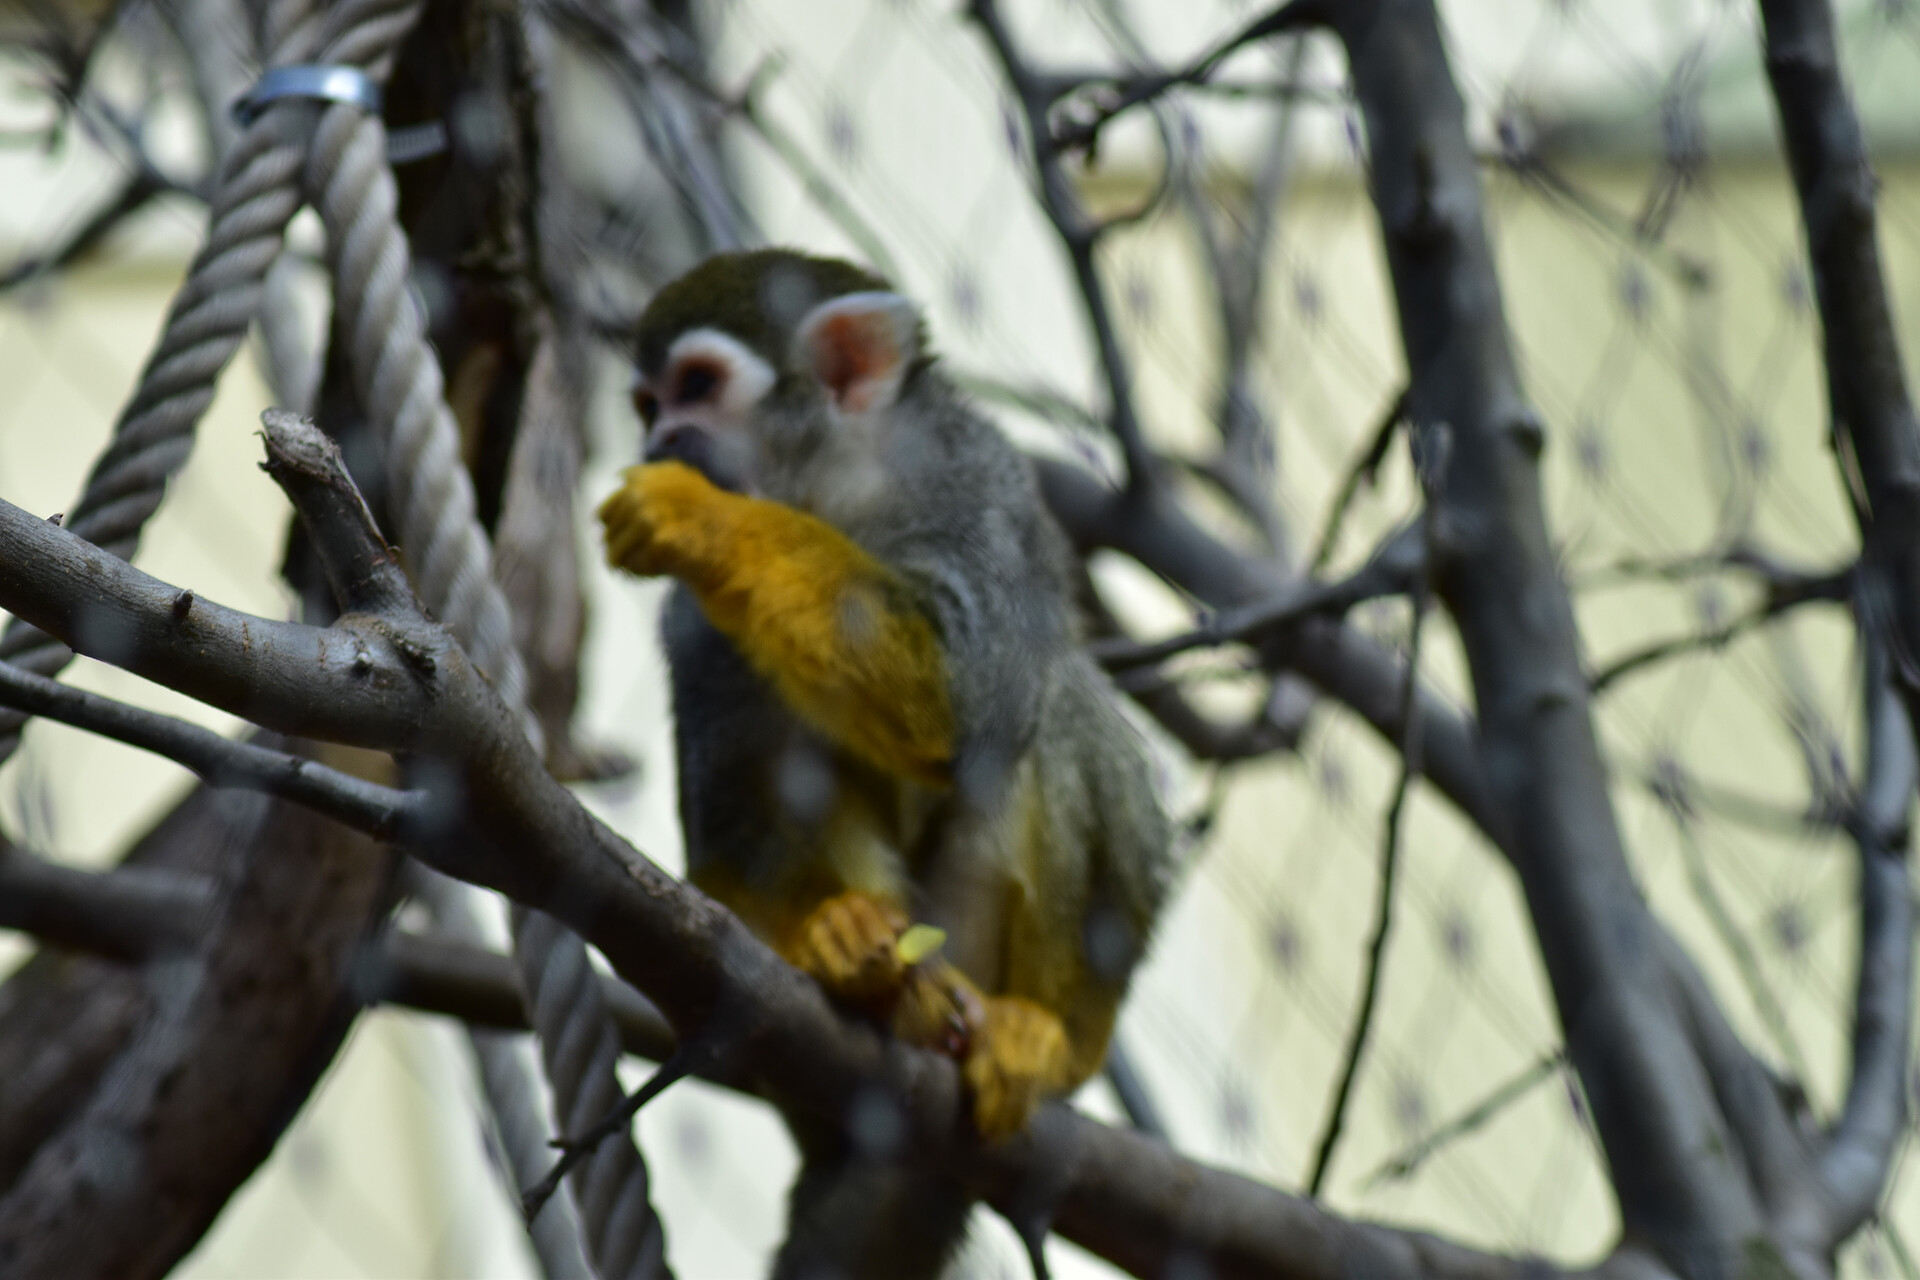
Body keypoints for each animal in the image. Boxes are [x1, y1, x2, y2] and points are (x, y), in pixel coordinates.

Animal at [599, 249, 1167, 1280]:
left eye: (695, 387)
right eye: (645, 403)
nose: (660, 438)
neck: (836, 488)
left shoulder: (977, 482)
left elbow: (958, 694)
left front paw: (700, 519)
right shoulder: (691, 622)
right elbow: (727, 831)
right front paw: (832, 942)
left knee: (1045, 703)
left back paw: (1048, 1037)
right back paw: (875, 973)